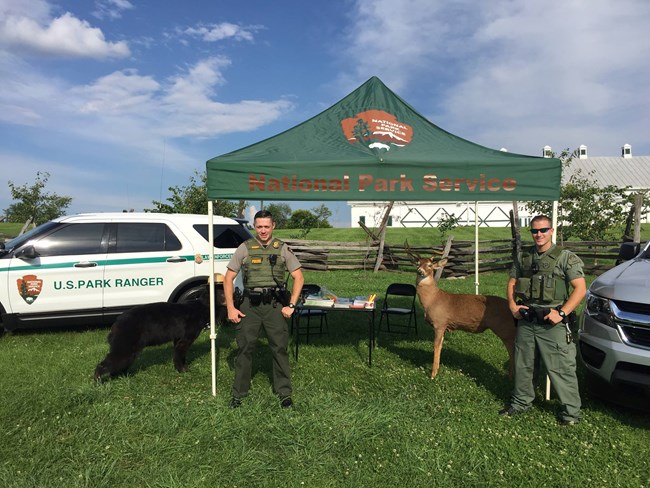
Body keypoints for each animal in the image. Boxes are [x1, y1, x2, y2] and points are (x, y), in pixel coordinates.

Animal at [93, 284, 225, 384]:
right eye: (223, 292)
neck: (202, 307)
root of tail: (116, 323)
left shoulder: (177, 339)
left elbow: (180, 355)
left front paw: (182, 367)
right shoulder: (185, 339)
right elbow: (179, 355)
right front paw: (183, 370)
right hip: (125, 349)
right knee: (105, 364)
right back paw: (98, 380)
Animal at [412, 252, 512, 382]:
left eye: (430, 265)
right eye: (417, 263)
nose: (420, 271)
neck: (432, 300)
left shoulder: (439, 323)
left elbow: (436, 346)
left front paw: (433, 375)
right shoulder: (445, 326)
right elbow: (440, 347)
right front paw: (437, 370)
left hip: (506, 330)